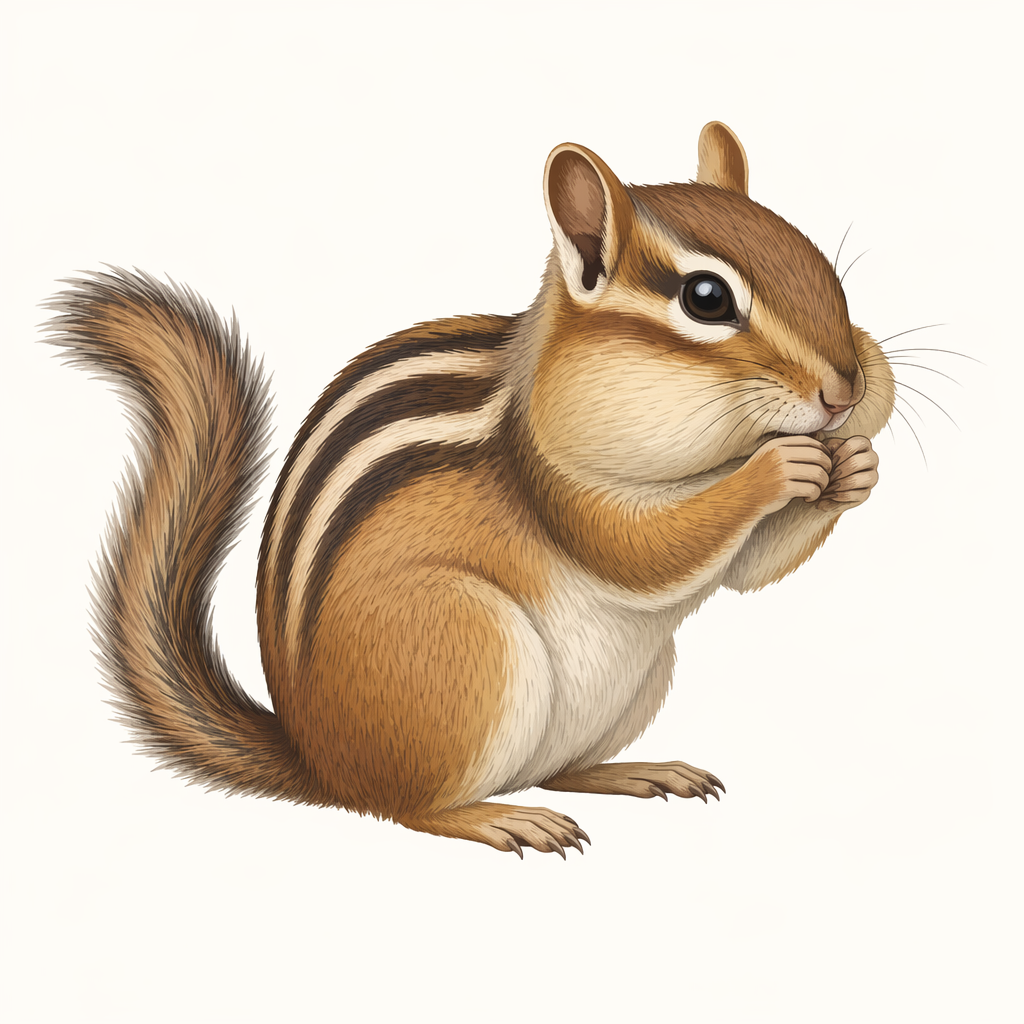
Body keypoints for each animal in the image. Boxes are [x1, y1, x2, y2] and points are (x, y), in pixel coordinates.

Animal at [47, 122, 895, 857]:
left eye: (816, 259)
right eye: (706, 299)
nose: (849, 389)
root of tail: (317, 757)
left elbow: (746, 571)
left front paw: (855, 468)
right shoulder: (555, 483)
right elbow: (640, 553)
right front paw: (779, 470)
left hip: (636, 682)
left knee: (560, 770)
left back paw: (636, 771)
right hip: (464, 642)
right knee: (408, 807)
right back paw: (498, 818)